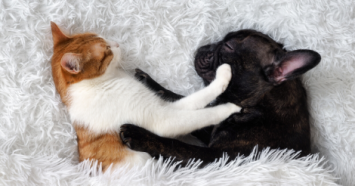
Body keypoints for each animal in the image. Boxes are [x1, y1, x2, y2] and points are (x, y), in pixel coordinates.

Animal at [50, 21, 242, 171]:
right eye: (107, 50)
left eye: (104, 38)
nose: (117, 44)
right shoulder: (161, 118)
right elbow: (202, 112)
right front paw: (229, 104)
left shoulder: (162, 105)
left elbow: (192, 101)